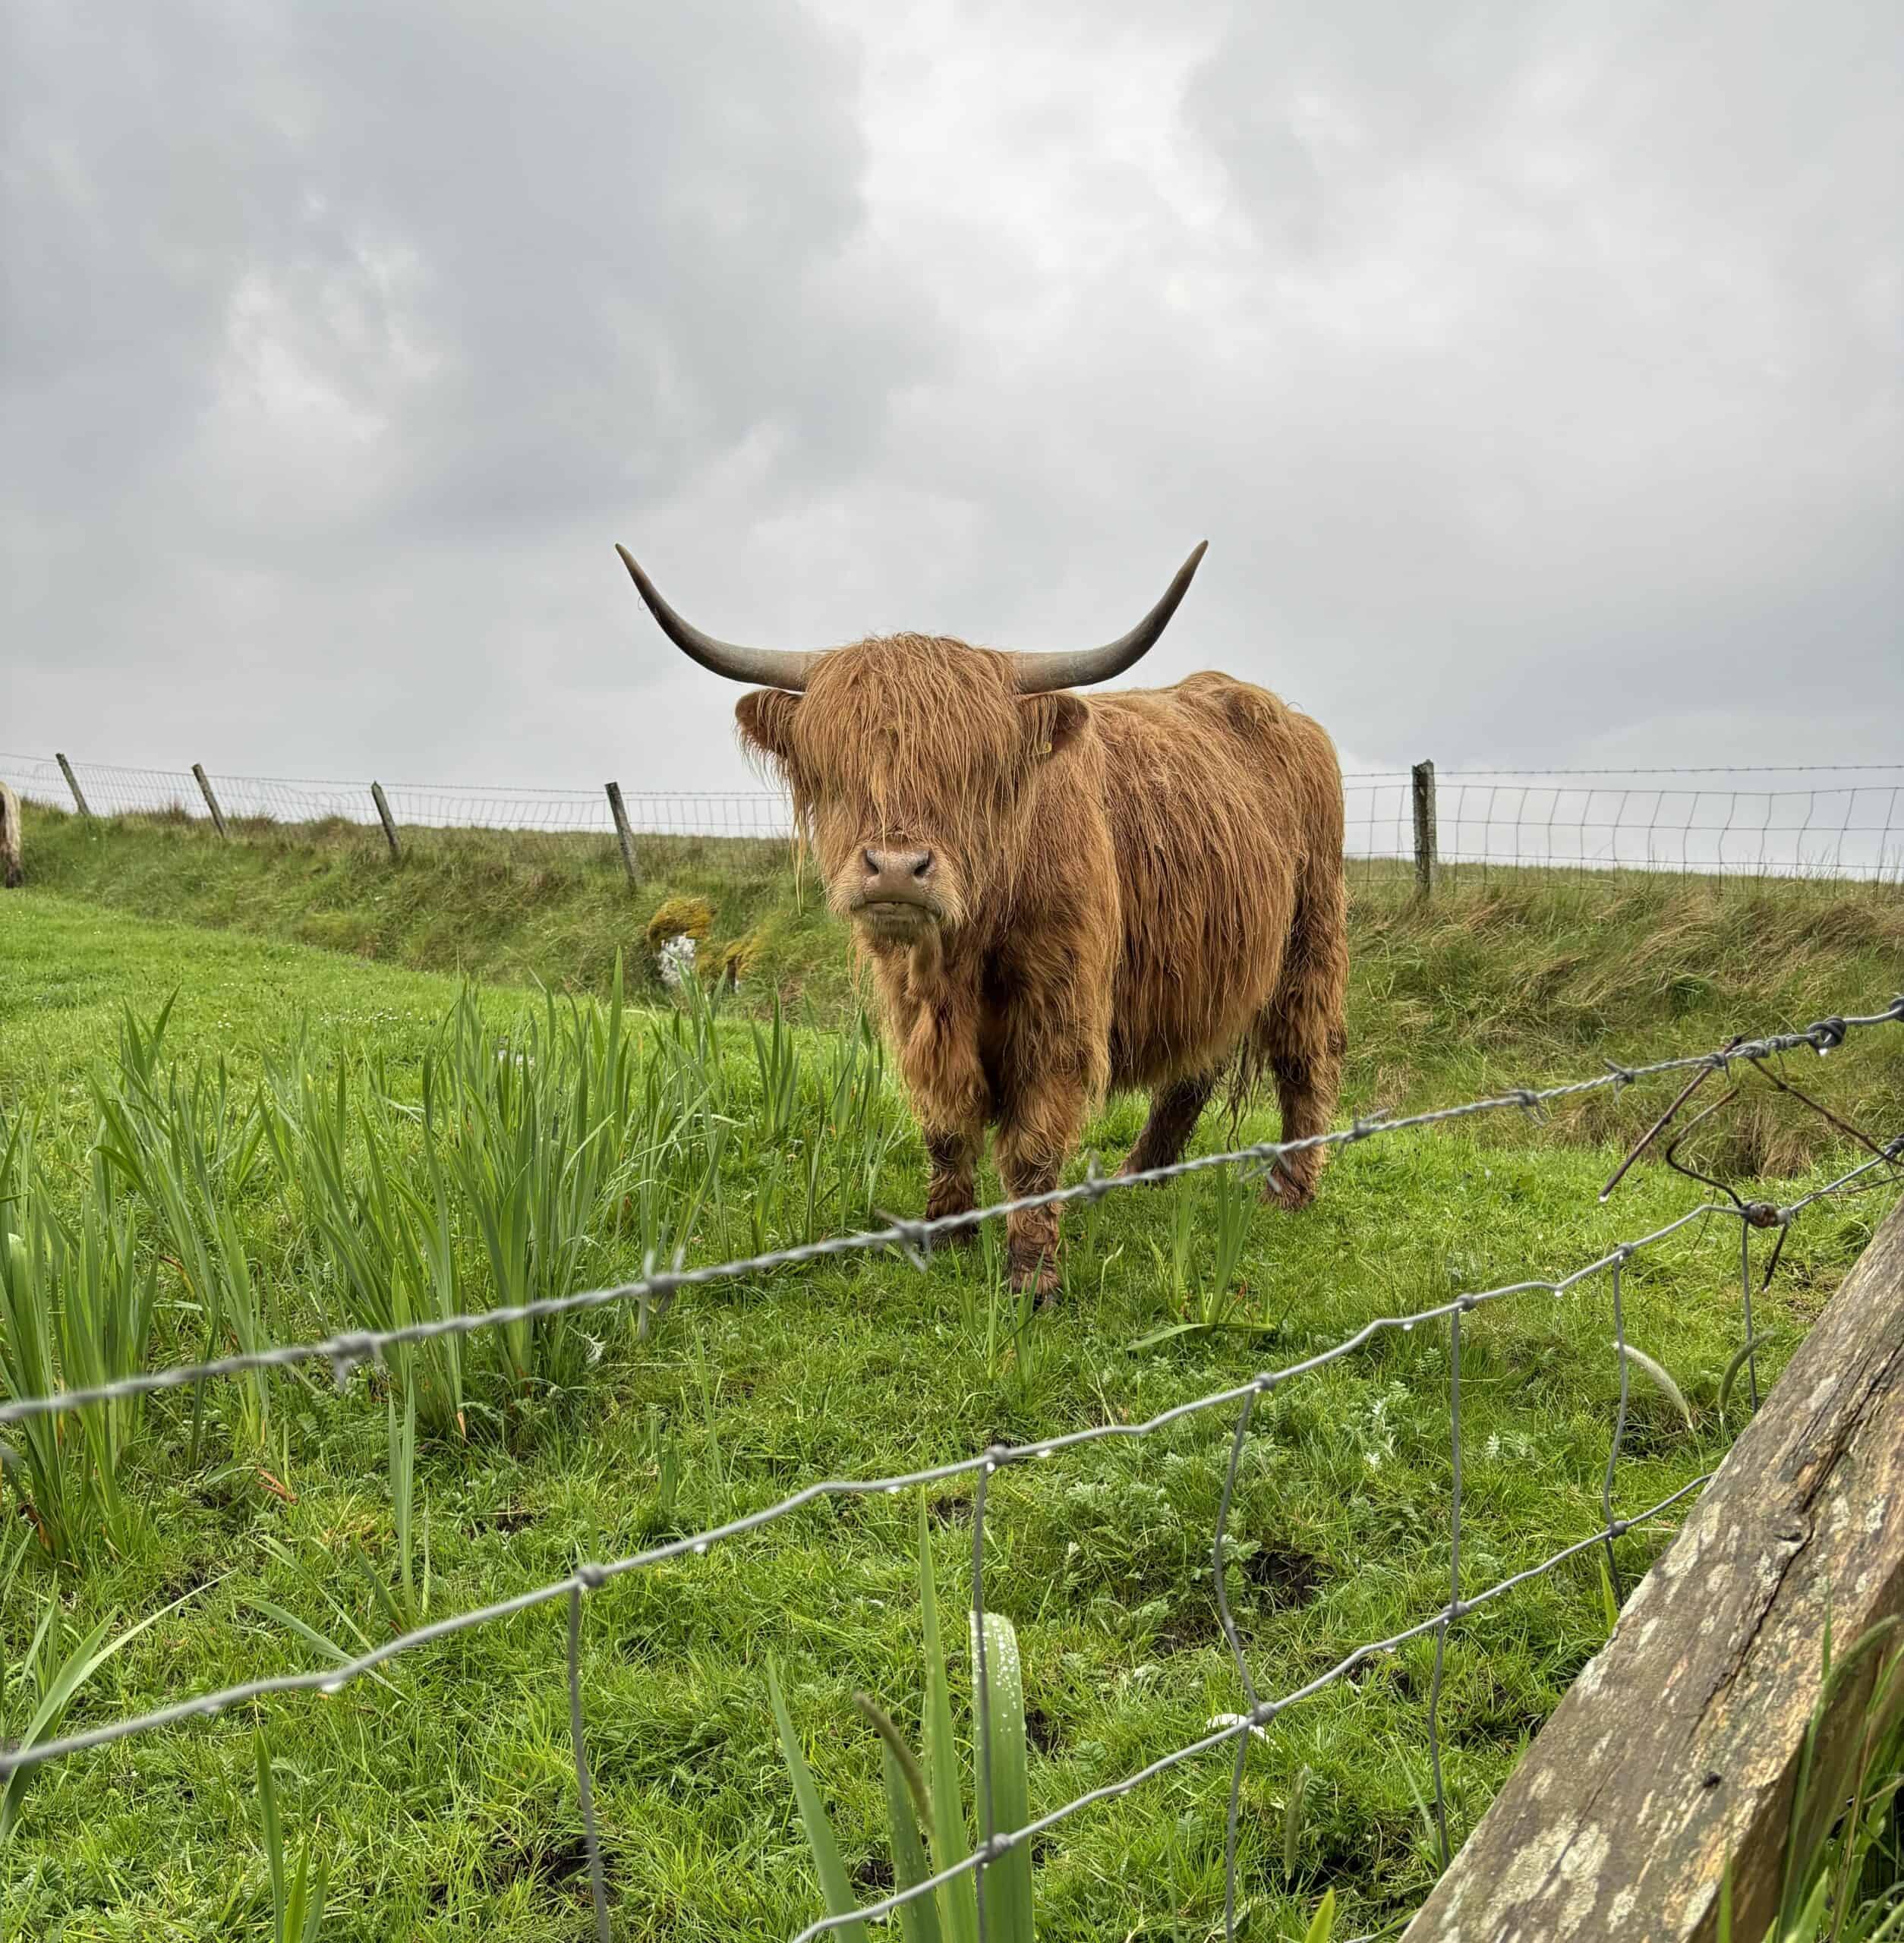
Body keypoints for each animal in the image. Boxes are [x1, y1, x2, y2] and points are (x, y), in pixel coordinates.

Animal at [617, 543, 1348, 1297]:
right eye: (839, 766)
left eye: (974, 772)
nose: (897, 869)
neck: (961, 954)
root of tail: (1275, 710)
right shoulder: (913, 1008)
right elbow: (945, 1124)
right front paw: (948, 1231)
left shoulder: (1058, 1008)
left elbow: (1032, 1144)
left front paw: (1032, 1276)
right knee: (1192, 1068)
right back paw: (1141, 1174)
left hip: (1311, 934)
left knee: (1305, 1053)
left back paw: (1289, 1188)